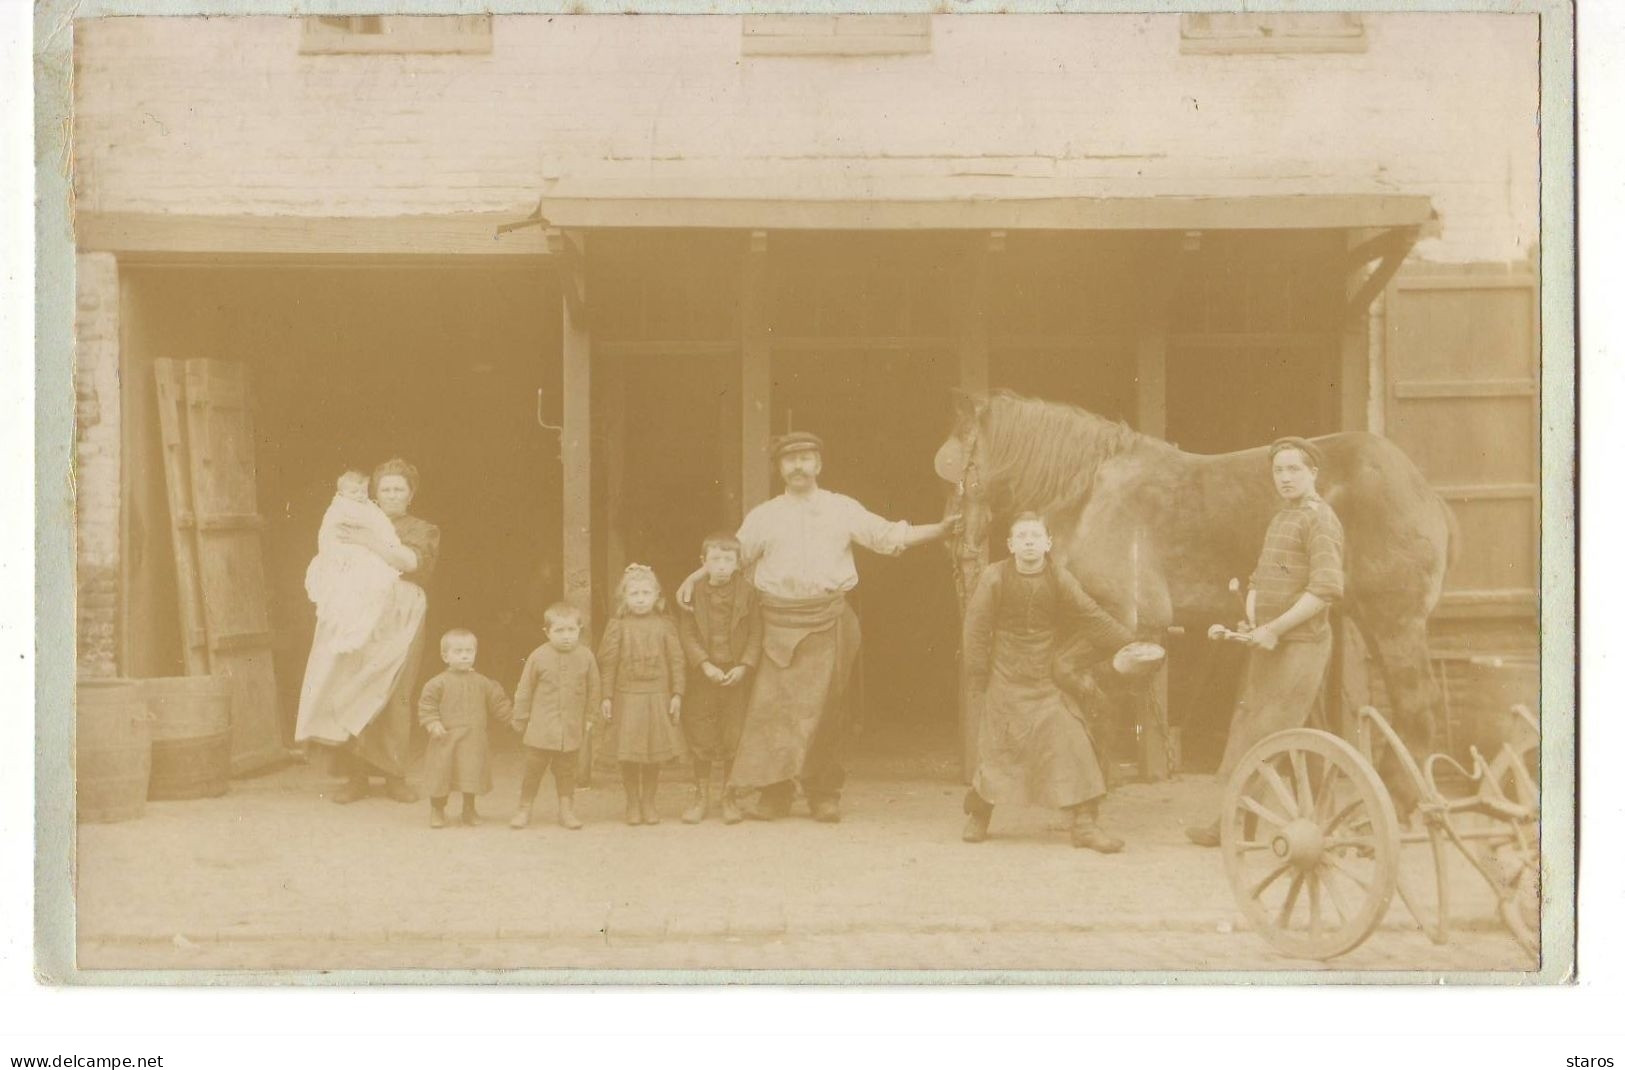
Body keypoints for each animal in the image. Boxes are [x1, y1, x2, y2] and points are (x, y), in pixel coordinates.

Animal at [942, 387, 1462, 780]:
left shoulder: (1127, 621)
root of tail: (1424, 493)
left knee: (1419, 711)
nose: (957, 541)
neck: (1089, 493)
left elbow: (1085, 679)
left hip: (1395, 625)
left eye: (954, 470)